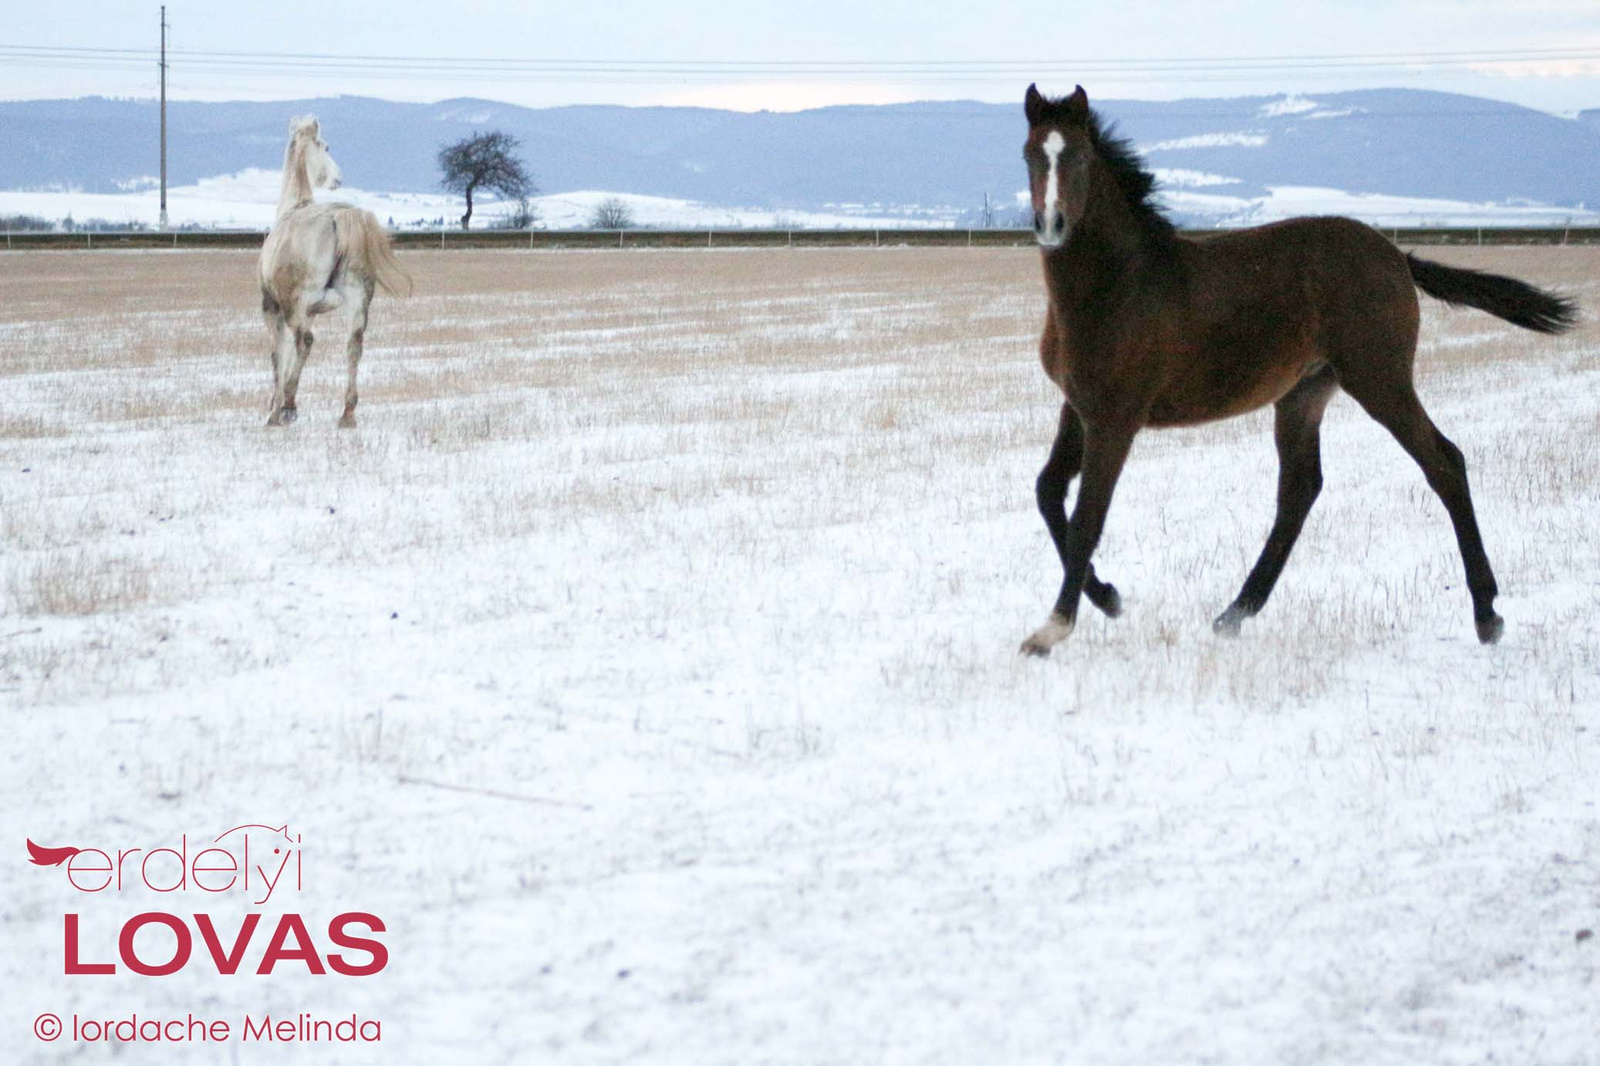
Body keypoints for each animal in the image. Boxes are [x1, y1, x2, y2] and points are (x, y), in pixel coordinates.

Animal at [257, 117, 409, 428]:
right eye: (326, 147)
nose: (338, 178)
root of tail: (339, 216)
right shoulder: (312, 312)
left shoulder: (273, 308)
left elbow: (278, 354)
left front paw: (274, 412)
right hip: (357, 301)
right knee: (354, 344)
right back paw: (347, 413)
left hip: (295, 305)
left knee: (305, 342)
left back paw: (289, 405)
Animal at [1017, 85, 1580, 656]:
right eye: (1030, 155)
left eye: (1080, 158)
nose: (1051, 225)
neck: (1117, 286)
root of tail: (1397, 255)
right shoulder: (1079, 407)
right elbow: (1048, 492)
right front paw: (1108, 597)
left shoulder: (1116, 417)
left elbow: (1087, 518)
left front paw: (1053, 627)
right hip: (1305, 392)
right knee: (1300, 489)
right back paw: (1235, 612)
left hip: (1379, 379)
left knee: (1443, 462)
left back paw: (1488, 614)